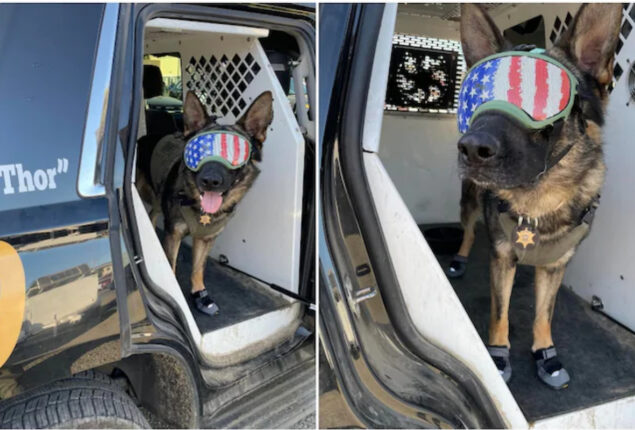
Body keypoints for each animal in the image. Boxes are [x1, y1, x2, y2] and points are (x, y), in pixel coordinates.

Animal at [139, 90, 274, 316]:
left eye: (234, 154)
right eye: (198, 152)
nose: (210, 181)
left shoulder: (206, 238)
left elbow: (198, 269)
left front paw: (199, 295)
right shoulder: (174, 234)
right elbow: (172, 267)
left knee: (153, 213)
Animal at [452, 2, 628, 386]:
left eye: (544, 100)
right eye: (478, 95)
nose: (471, 149)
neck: (538, 199)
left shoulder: (555, 267)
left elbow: (543, 314)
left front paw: (545, 353)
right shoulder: (502, 260)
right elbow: (499, 314)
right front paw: (498, 356)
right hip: (469, 200)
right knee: (468, 230)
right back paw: (459, 257)